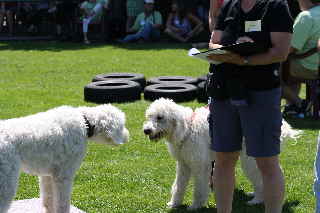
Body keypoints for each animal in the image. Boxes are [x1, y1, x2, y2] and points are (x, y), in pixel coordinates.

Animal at [0, 105, 130, 213]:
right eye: (122, 125)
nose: (128, 137)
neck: (85, 122)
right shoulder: (64, 175)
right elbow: (62, 203)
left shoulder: (47, 175)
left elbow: (48, 199)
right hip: (6, 182)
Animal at [144, 98, 298, 210]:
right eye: (149, 116)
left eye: (160, 117)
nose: (146, 130)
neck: (188, 128)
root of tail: (283, 128)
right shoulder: (183, 165)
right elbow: (178, 186)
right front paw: (174, 203)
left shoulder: (201, 167)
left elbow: (199, 189)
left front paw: (195, 206)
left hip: (251, 161)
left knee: (261, 178)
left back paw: (257, 200)